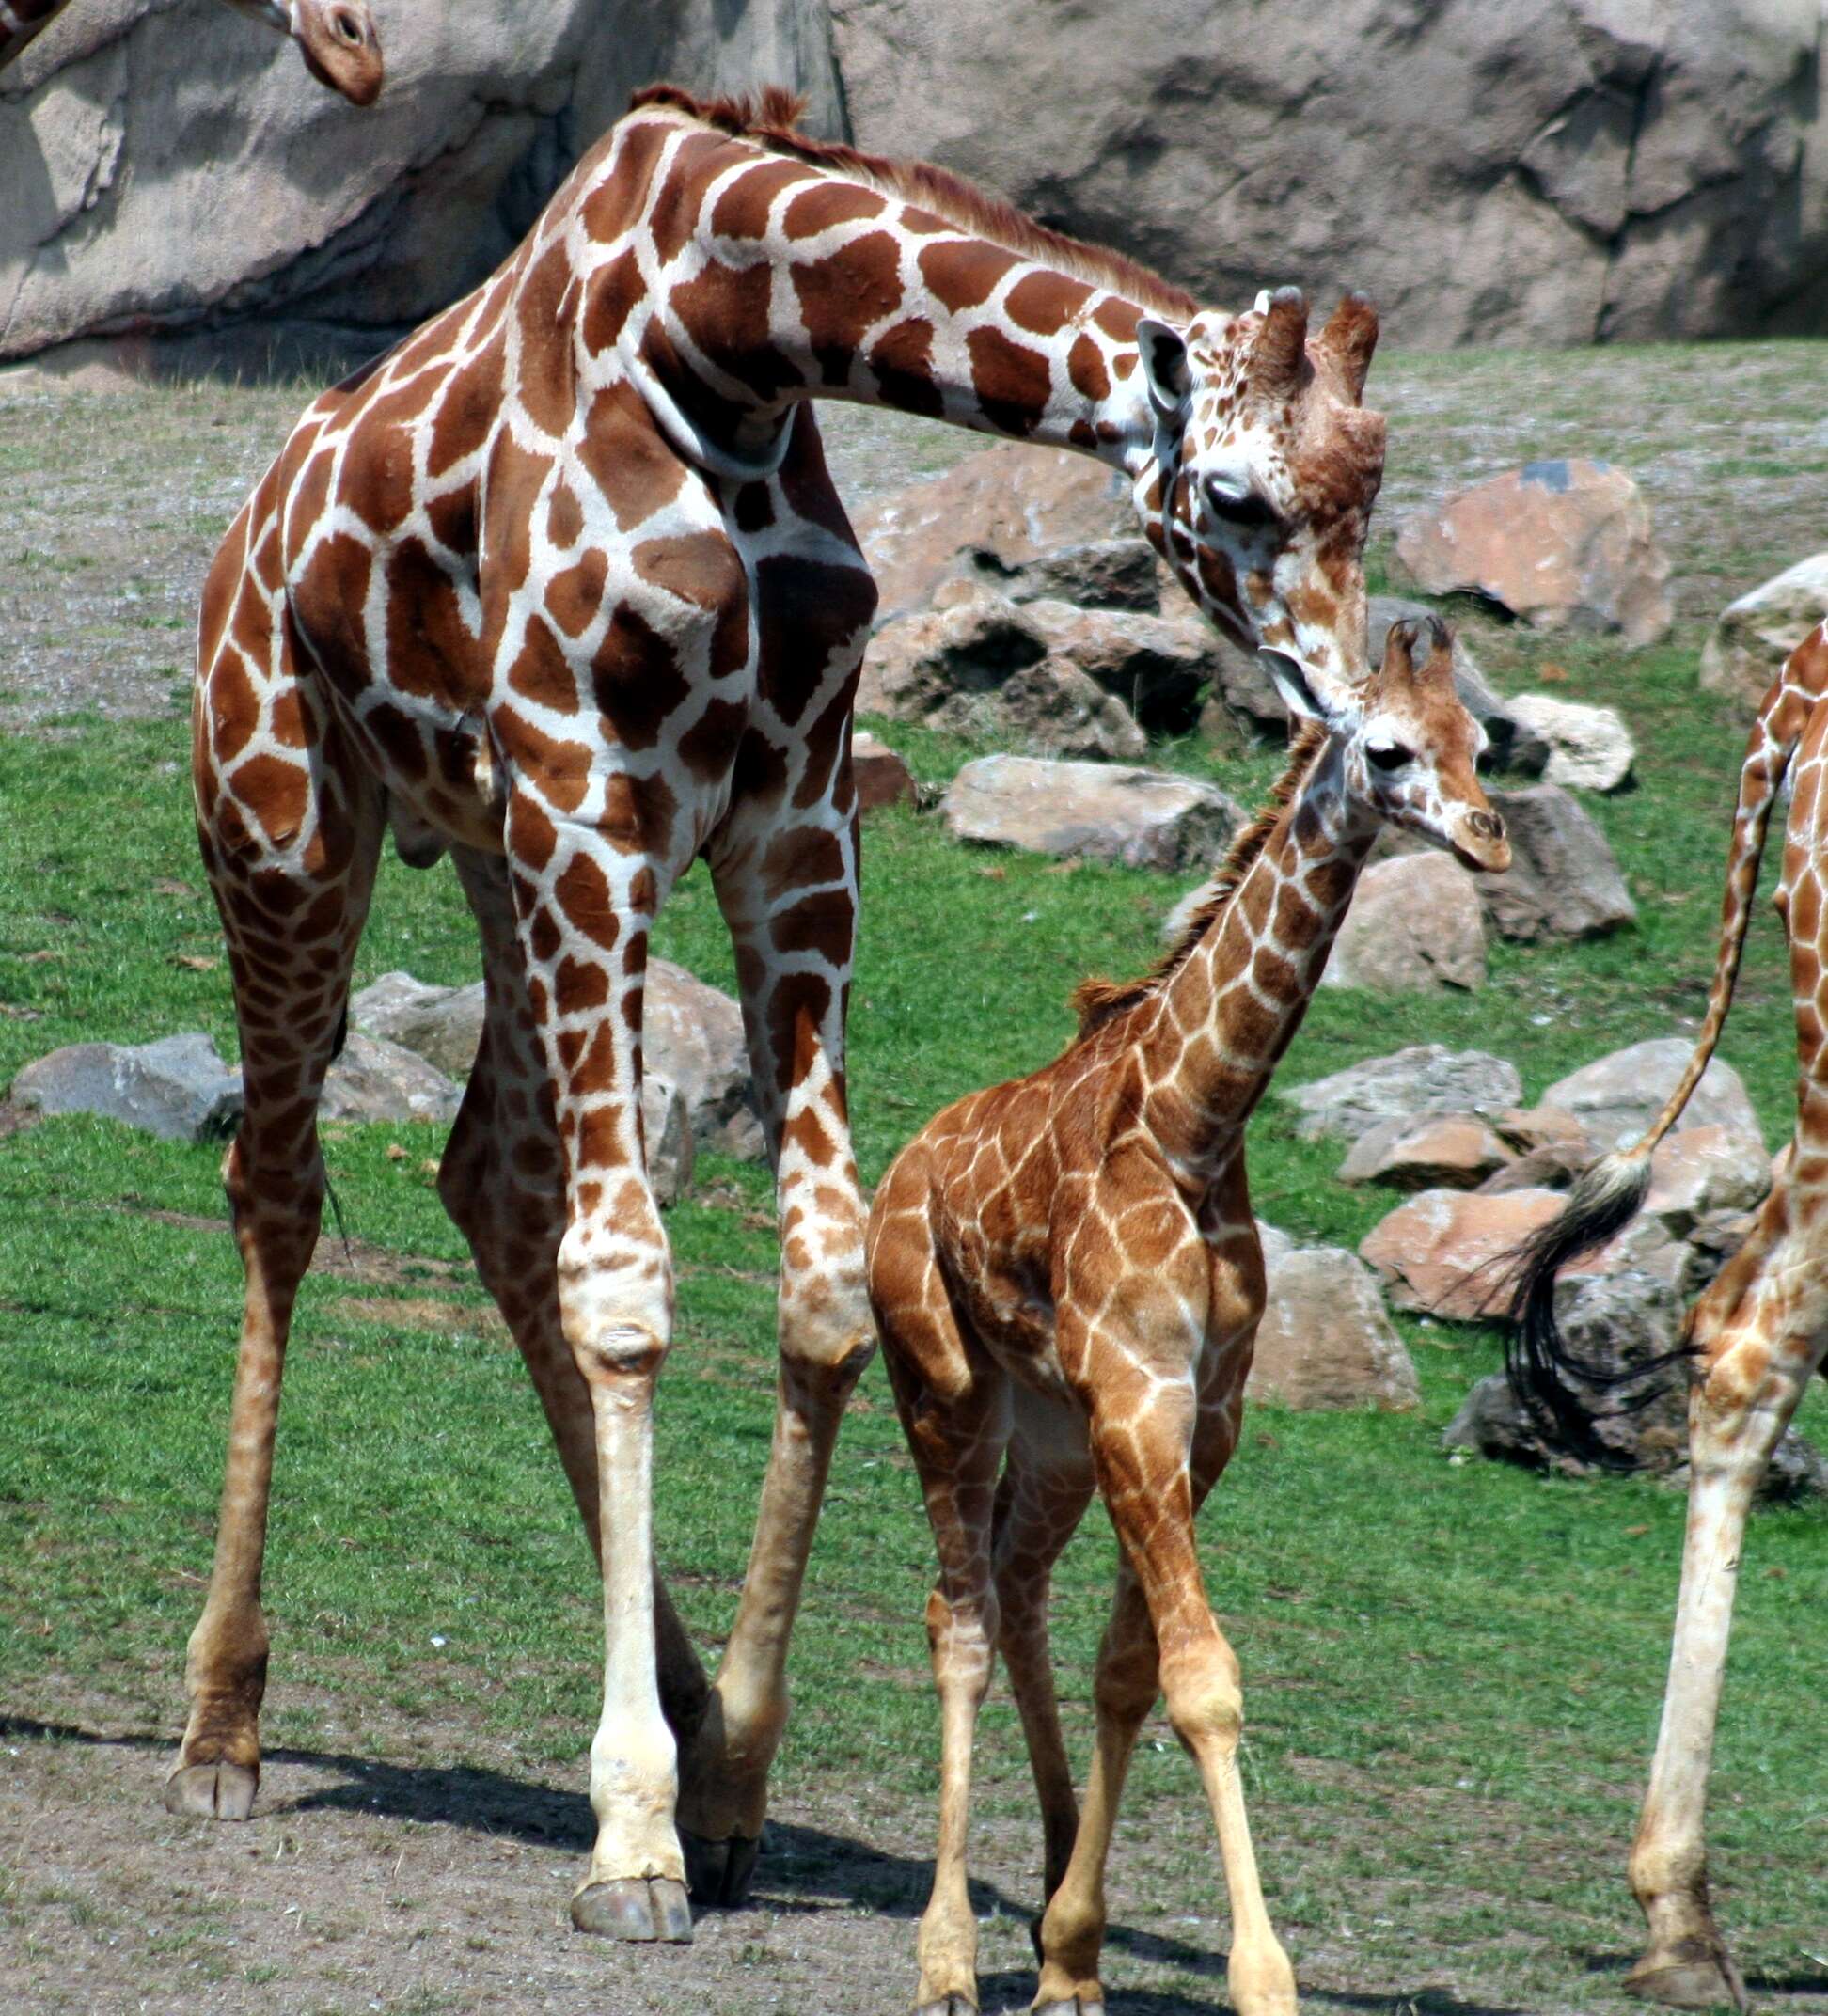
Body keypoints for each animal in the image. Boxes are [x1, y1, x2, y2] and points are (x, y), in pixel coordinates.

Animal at [181, 87, 1386, 1943]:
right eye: (1242, 496)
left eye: (1372, 486)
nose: (1354, 704)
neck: (728, 336)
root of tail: (251, 521)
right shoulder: (589, 791)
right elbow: (628, 1289)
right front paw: (632, 1835)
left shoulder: (790, 823)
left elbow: (817, 1285)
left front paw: (732, 1773)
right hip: (291, 821)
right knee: (282, 1182)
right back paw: (224, 1725)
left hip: (493, 856)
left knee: (488, 1178)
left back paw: (668, 1699)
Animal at [870, 617, 1515, 2016]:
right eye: (1390, 747)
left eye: (1483, 742)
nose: (1490, 837)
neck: (1193, 1123)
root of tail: (900, 1169)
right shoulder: (1138, 1397)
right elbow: (1204, 1680)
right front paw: (1261, 1978)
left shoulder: (1195, 1415)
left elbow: (1133, 1668)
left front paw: (1072, 1950)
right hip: (942, 1383)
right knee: (958, 1619)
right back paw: (943, 1956)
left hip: (1052, 1426)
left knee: (1013, 1588)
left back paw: (1048, 1900)